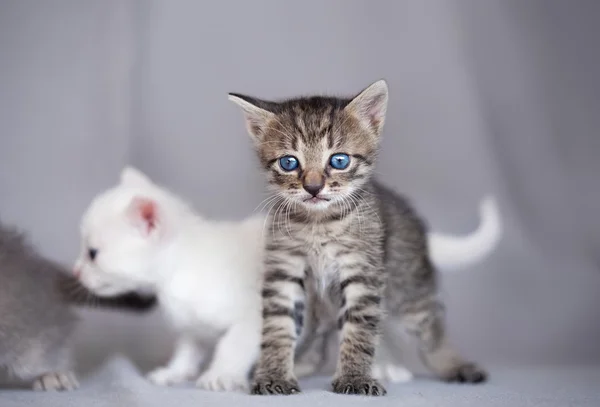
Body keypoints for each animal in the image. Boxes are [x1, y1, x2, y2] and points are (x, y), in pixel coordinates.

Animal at [230, 79, 488, 396]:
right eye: (289, 163)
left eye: (339, 160)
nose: (313, 188)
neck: (319, 223)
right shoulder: (284, 269)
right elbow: (278, 326)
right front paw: (274, 374)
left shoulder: (362, 271)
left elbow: (359, 328)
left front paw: (354, 377)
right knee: (320, 343)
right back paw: (305, 364)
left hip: (407, 289)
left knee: (431, 327)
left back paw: (454, 364)